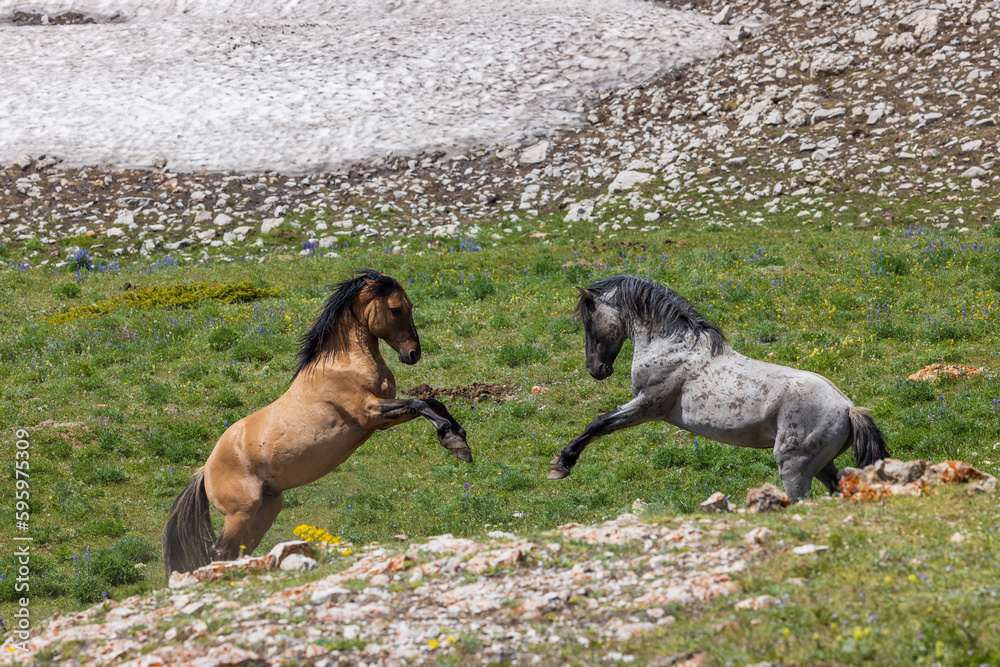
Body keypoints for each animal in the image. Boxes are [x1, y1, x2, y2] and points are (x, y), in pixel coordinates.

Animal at [164, 268, 472, 576]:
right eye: (395, 309)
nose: (413, 354)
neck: (344, 363)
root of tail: (204, 470)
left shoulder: (382, 419)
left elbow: (432, 403)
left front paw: (459, 440)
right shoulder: (369, 412)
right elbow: (420, 403)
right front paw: (453, 441)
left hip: (267, 508)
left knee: (238, 549)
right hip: (241, 512)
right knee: (219, 550)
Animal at [548, 274, 892, 498]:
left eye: (588, 320)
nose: (596, 370)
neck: (673, 346)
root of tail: (848, 408)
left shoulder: (647, 406)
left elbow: (598, 423)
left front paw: (561, 465)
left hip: (795, 468)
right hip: (822, 466)